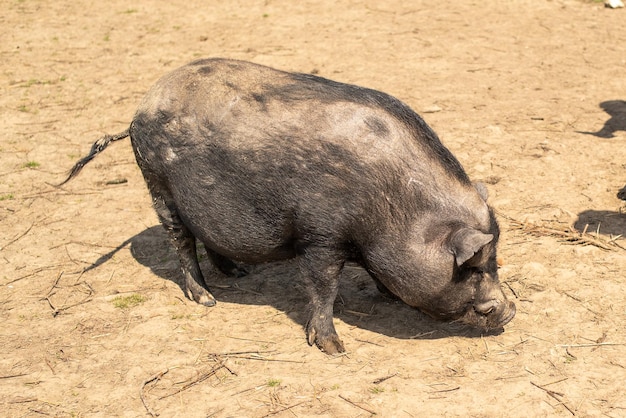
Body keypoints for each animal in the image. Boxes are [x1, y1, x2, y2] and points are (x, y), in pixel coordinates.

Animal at [62, 58, 512, 352]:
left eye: (493, 260)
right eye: (471, 266)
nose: (509, 313)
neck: (393, 206)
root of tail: (139, 109)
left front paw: (385, 297)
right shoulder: (320, 234)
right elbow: (323, 286)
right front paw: (334, 348)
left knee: (209, 236)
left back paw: (237, 273)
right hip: (157, 183)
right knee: (181, 240)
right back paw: (206, 299)